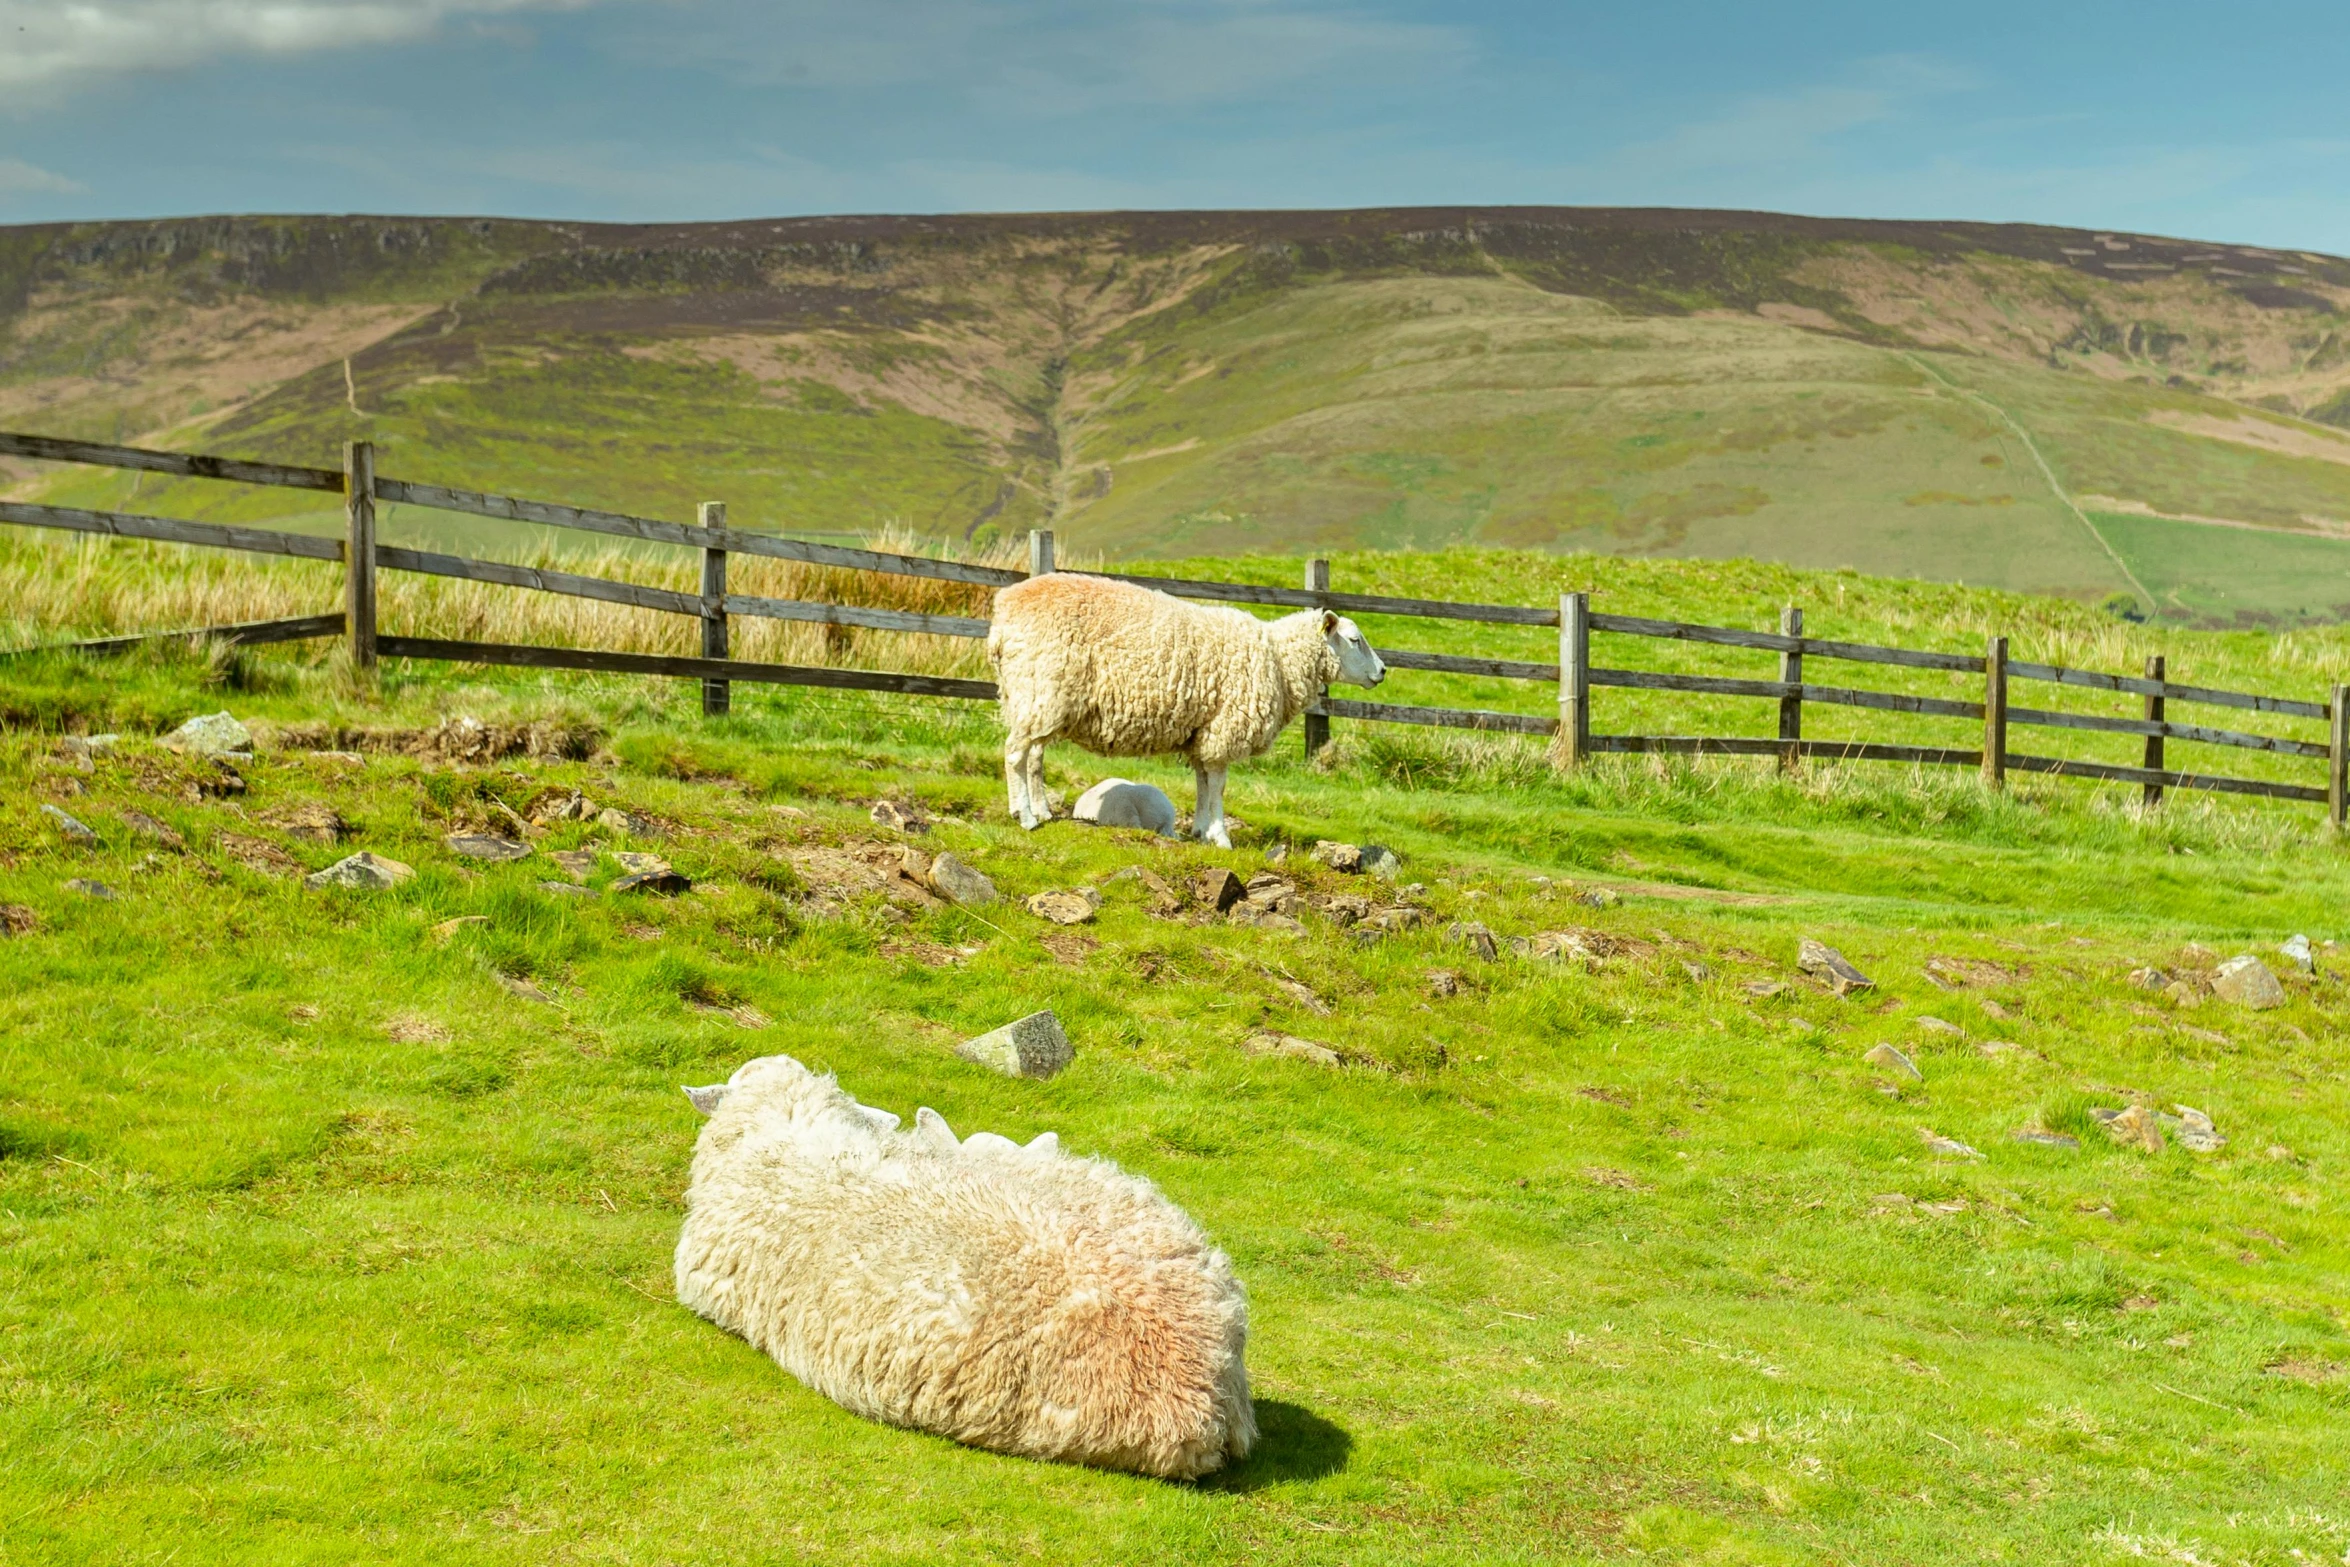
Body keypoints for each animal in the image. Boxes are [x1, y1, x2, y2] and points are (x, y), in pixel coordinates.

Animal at [986, 573, 1381, 845]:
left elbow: (1203, 782)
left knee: (1033, 757)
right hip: (1040, 688)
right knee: (1015, 754)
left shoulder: (1204, 732)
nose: (1383, 671)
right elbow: (1219, 785)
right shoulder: (1225, 727)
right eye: (1354, 640)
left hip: (1035, 698)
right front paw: (1220, 836)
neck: (1279, 660)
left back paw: (1041, 810)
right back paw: (1024, 816)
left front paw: (1201, 830)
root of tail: (1002, 614)